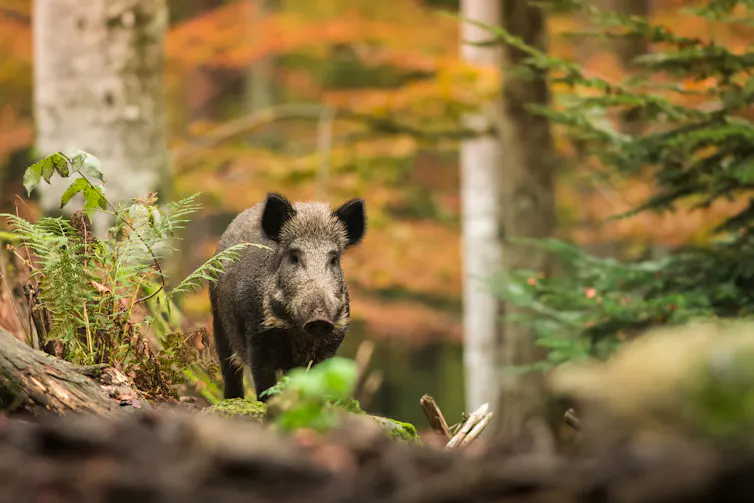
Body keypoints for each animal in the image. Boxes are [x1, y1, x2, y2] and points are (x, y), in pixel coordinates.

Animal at [209, 192, 366, 401]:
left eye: (334, 259)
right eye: (294, 257)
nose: (319, 318)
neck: (298, 333)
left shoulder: (332, 340)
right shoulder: (257, 338)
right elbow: (264, 384)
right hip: (218, 321)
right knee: (230, 370)